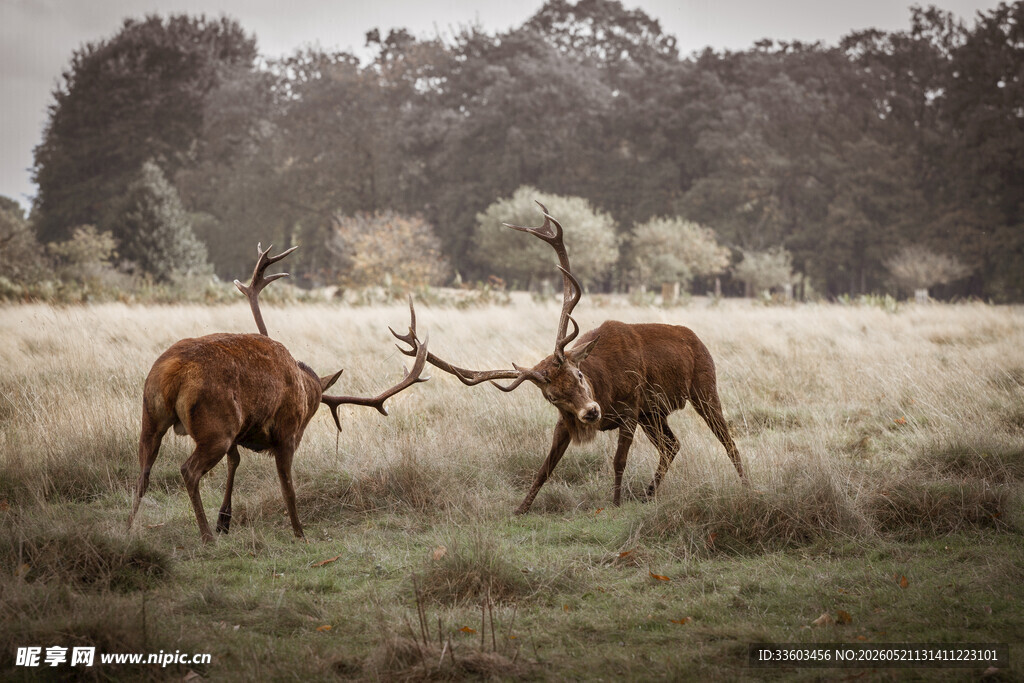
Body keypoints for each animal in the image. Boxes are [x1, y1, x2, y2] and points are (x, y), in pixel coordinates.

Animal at [127, 244, 429, 542]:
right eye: (311, 410)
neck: (306, 386)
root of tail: (173, 373)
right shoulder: (286, 432)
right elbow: (288, 488)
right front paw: (299, 532)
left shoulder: (240, 430)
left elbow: (235, 462)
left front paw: (224, 519)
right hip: (215, 427)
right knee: (188, 471)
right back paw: (206, 536)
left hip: (151, 415)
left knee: (143, 472)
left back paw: (129, 526)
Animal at [392, 203, 744, 514]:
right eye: (552, 396)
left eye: (579, 375)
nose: (591, 412)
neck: (606, 387)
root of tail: (696, 339)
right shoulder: (567, 421)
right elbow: (544, 468)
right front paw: (520, 509)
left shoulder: (631, 406)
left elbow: (618, 461)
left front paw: (615, 503)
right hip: (654, 413)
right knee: (672, 446)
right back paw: (648, 494)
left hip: (703, 388)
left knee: (727, 440)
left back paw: (745, 483)